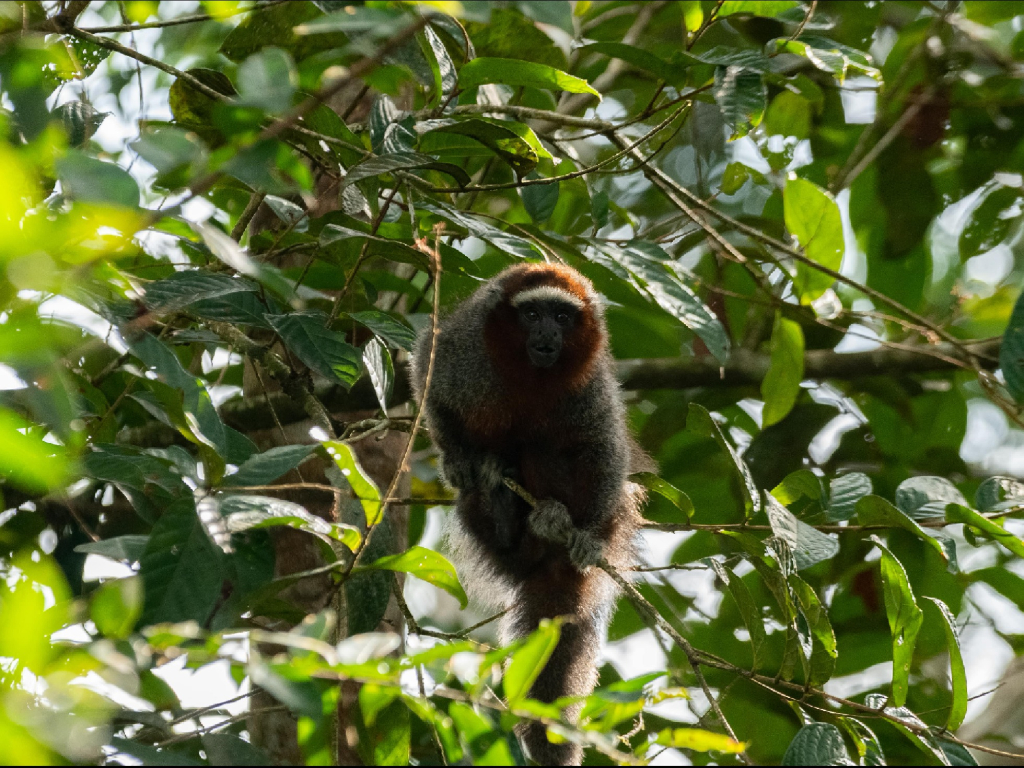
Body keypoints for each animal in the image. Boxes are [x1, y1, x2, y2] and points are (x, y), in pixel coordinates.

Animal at [409, 264, 643, 765]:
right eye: (532, 313)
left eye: (562, 315)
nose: (547, 333)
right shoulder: (464, 353)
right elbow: (425, 370)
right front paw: (455, 458)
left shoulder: (592, 388)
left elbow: (605, 449)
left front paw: (587, 537)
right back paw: (499, 502)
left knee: (546, 448)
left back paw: (551, 521)